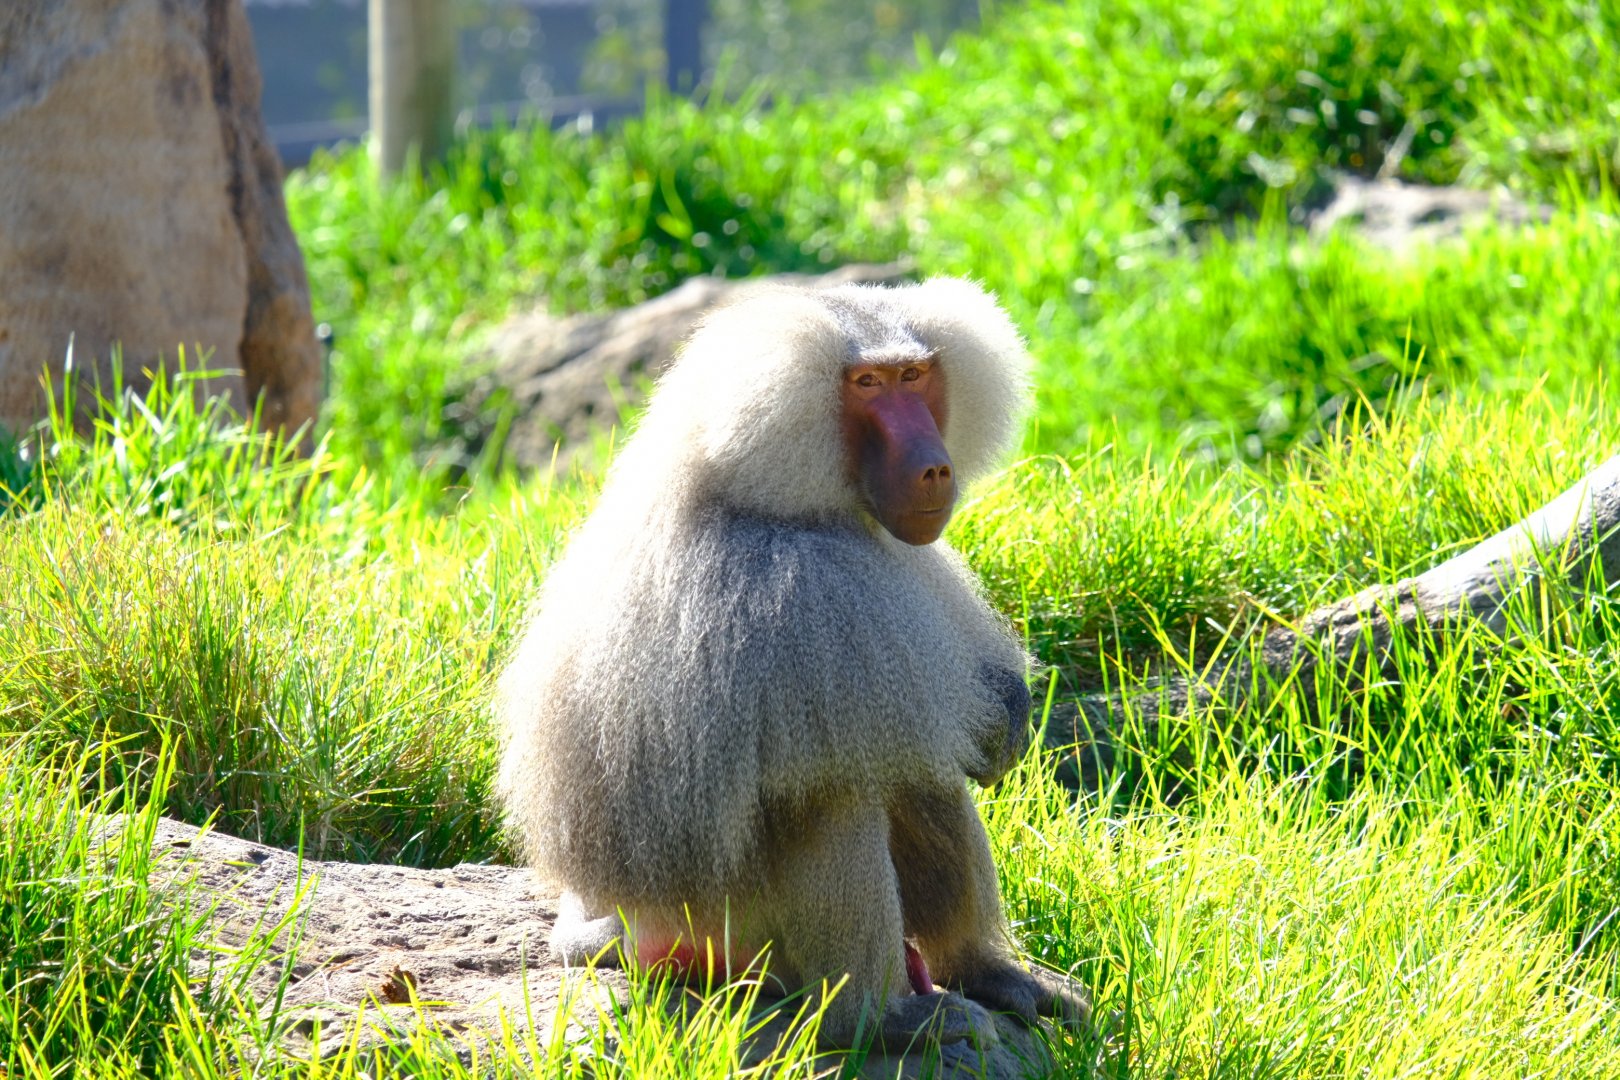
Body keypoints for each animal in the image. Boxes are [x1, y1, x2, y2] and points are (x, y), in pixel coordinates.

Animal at [496, 277, 1088, 1052]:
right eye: (867, 385)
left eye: (914, 376)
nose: (935, 467)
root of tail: (610, 928)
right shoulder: (792, 590)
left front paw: (1008, 708)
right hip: (718, 931)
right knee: (833, 790)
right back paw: (882, 1020)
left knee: (908, 766)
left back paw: (987, 975)